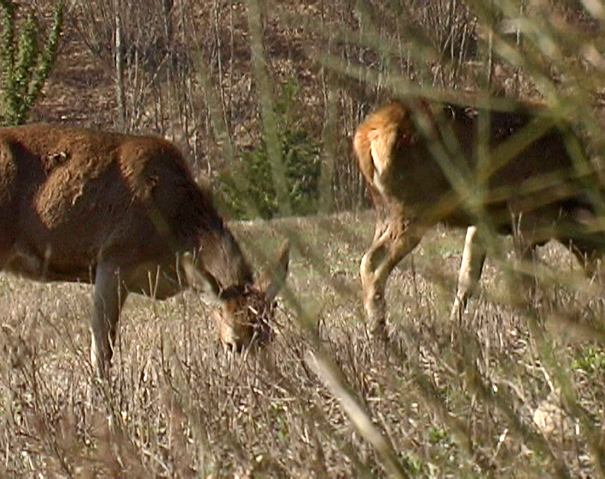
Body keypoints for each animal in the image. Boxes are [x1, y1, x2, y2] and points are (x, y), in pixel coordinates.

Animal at [354, 98, 604, 338]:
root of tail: (364, 137)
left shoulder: (483, 221)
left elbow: (468, 277)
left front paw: (455, 328)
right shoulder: (524, 212)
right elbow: (527, 281)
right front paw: (538, 330)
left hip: (385, 210)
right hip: (413, 208)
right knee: (372, 263)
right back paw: (380, 334)